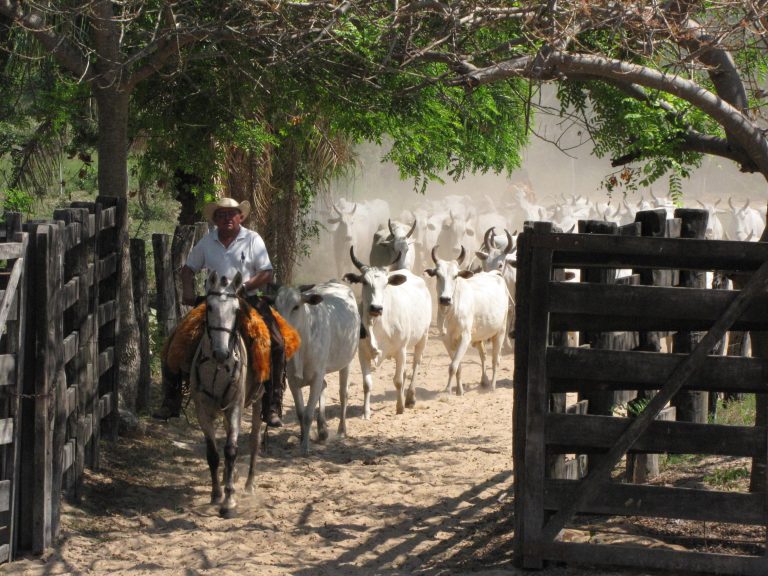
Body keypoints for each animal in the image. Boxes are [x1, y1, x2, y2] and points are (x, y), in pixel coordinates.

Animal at [274, 281, 360, 456]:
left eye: (296, 306)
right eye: (276, 307)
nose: (282, 334)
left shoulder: (316, 376)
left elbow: (308, 415)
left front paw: (305, 448)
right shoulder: (292, 381)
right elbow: (301, 414)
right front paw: (302, 438)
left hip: (346, 362)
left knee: (343, 394)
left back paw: (341, 431)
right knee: (325, 386)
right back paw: (322, 430)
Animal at [343, 247, 432, 417]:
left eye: (386, 284)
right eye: (364, 282)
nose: (376, 308)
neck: (377, 325)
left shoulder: (401, 350)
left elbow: (397, 380)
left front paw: (400, 408)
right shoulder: (362, 352)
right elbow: (367, 384)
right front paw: (366, 412)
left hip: (423, 337)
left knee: (415, 365)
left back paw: (410, 398)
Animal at [425, 245, 509, 397]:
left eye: (455, 276)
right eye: (438, 275)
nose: (445, 299)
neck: (450, 313)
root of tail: (494, 274)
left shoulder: (465, 337)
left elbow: (452, 366)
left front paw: (447, 389)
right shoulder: (446, 339)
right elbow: (458, 366)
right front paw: (459, 390)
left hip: (500, 331)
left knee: (495, 359)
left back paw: (493, 386)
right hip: (479, 337)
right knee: (483, 356)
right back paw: (484, 381)